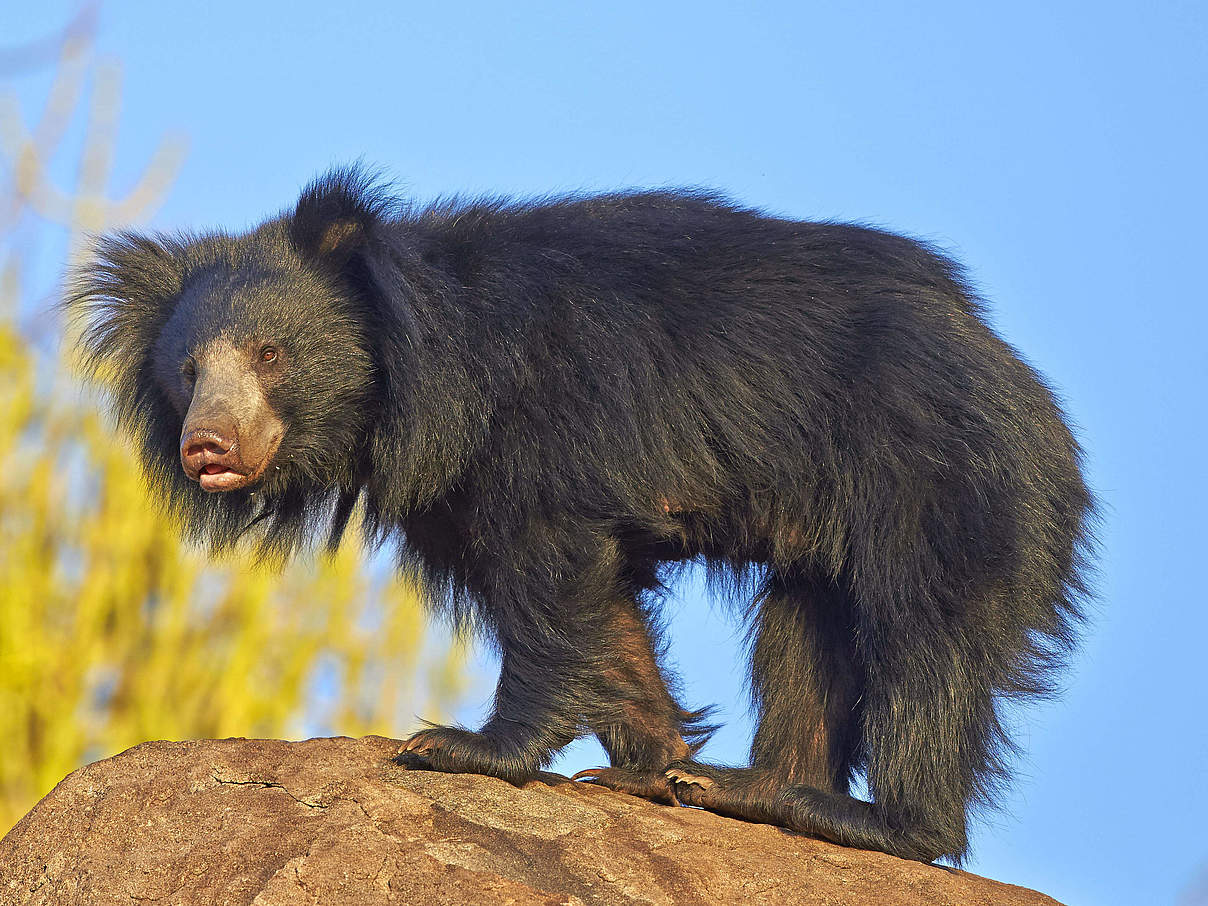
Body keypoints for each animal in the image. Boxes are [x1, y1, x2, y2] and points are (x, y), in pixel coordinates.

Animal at [70, 170, 1101, 864]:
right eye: (187, 371)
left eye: (270, 355)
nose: (208, 447)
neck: (420, 376)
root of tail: (1013, 372)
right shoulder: (456, 488)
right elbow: (600, 615)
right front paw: (650, 764)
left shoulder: (541, 427)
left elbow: (553, 581)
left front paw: (461, 748)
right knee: (805, 632)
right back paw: (751, 790)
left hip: (936, 474)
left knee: (925, 640)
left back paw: (882, 821)